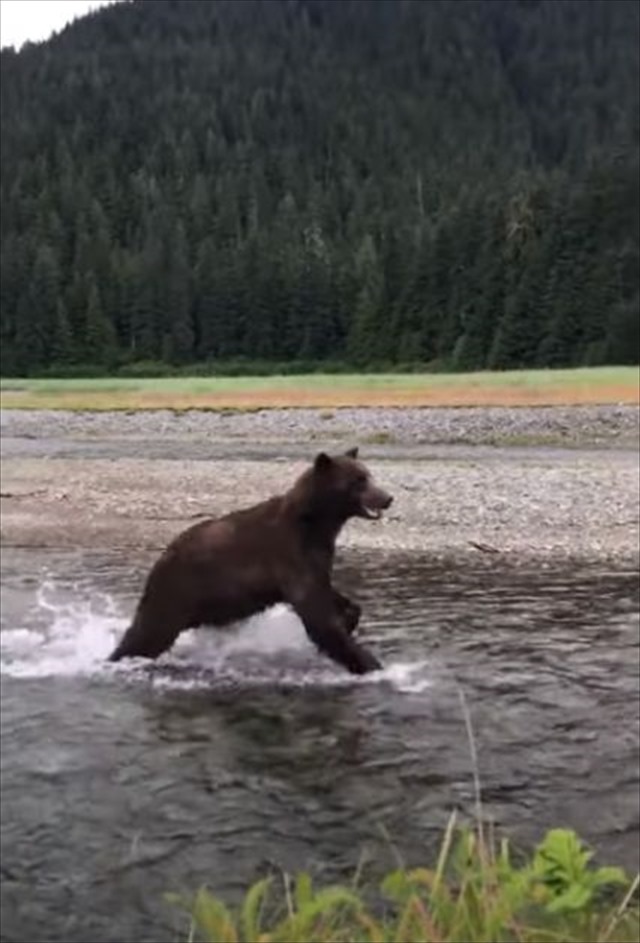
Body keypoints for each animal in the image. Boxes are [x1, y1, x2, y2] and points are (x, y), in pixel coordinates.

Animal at [107, 448, 392, 676]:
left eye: (369, 475)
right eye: (358, 480)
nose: (388, 497)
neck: (315, 523)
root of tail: (162, 558)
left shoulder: (315, 557)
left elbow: (329, 595)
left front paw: (350, 620)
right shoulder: (288, 555)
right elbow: (316, 614)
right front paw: (369, 663)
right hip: (176, 592)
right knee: (147, 634)